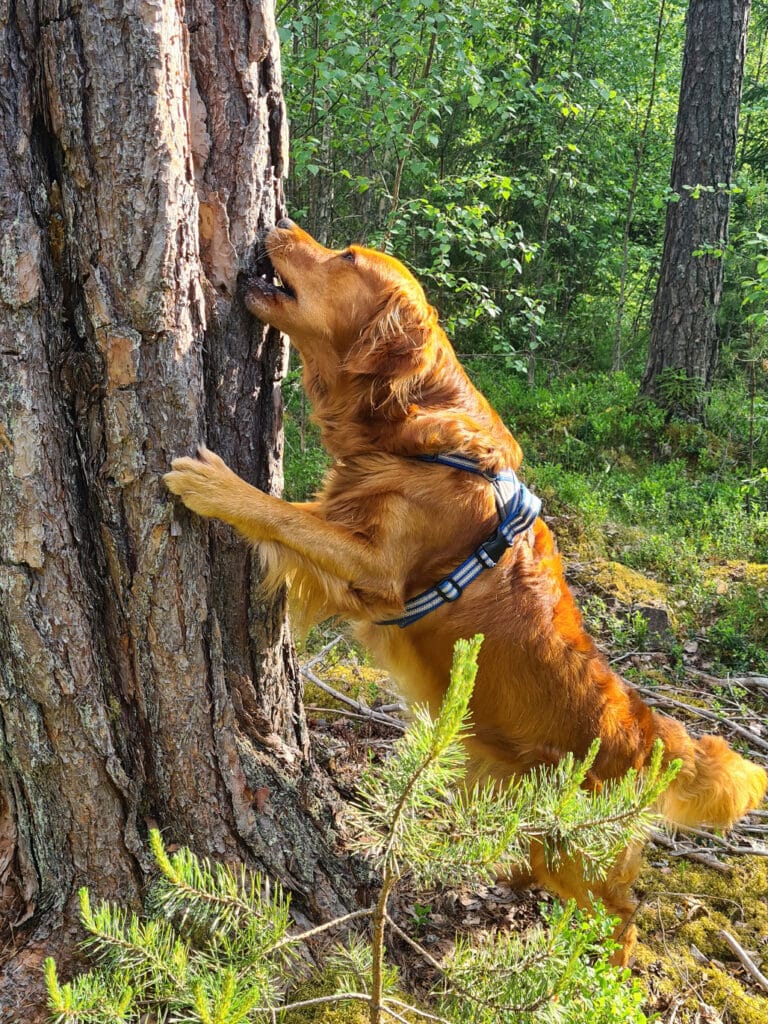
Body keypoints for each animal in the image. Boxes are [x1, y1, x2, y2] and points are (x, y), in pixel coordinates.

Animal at [165, 220, 765, 962]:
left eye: (347, 258)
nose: (277, 224)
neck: (414, 430)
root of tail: (652, 731)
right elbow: (297, 516)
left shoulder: (378, 568)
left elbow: (280, 511)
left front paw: (215, 485)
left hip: (578, 849)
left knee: (623, 915)